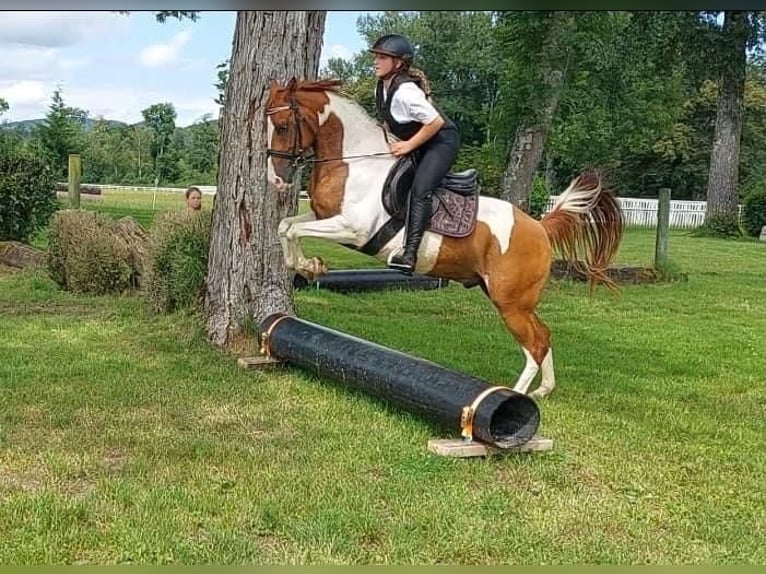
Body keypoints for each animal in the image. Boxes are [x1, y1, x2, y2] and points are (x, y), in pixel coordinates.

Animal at [264, 77, 624, 400]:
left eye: (282, 126)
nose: (276, 180)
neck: (353, 163)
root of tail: (539, 227)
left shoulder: (352, 229)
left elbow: (292, 229)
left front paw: (309, 266)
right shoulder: (324, 216)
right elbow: (286, 225)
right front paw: (308, 266)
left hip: (510, 303)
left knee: (534, 344)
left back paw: (516, 399)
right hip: (513, 298)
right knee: (544, 335)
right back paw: (543, 390)